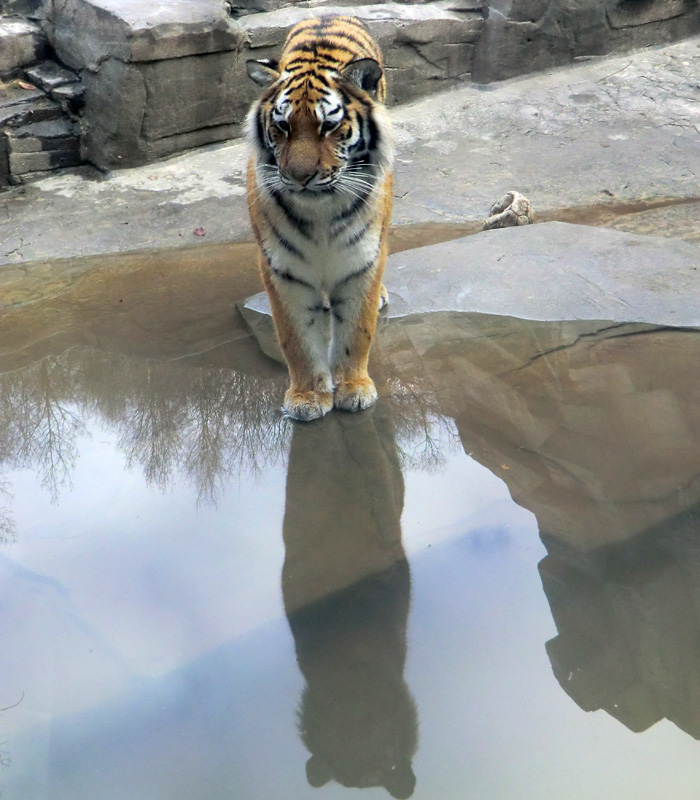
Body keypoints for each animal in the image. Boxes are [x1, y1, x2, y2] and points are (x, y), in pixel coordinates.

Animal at [246, 15, 394, 422]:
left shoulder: (363, 261)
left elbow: (357, 332)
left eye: (328, 126)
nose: (299, 177)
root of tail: (326, 13)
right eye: (282, 126)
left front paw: (354, 389)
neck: (321, 211)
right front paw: (308, 397)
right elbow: (296, 339)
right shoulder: (282, 269)